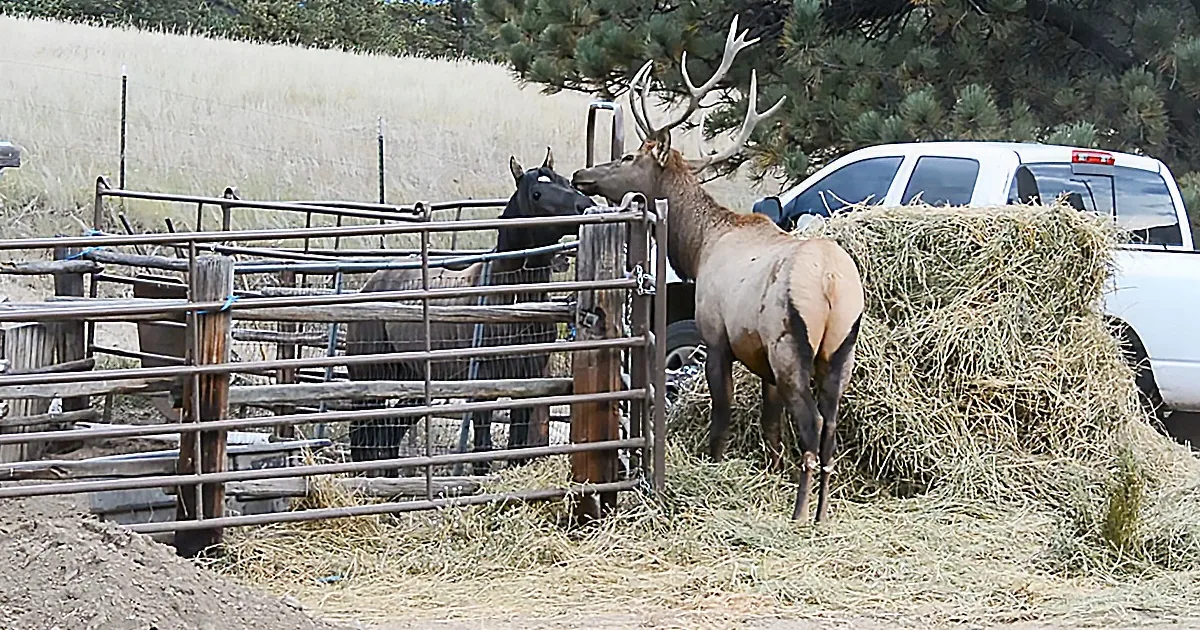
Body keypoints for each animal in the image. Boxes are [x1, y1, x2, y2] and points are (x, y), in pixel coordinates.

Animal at [570, 15, 866, 524]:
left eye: (629, 157)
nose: (581, 175)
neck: (699, 246)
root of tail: (831, 285)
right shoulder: (761, 360)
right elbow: (770, 427)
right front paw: (767, 470)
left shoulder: (716, 335)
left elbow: (723, 410)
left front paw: (714, 462)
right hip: (840, 349)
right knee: (828, 429)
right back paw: (822, 513)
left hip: (790, 342)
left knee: (810, 427)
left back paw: (800, 513)